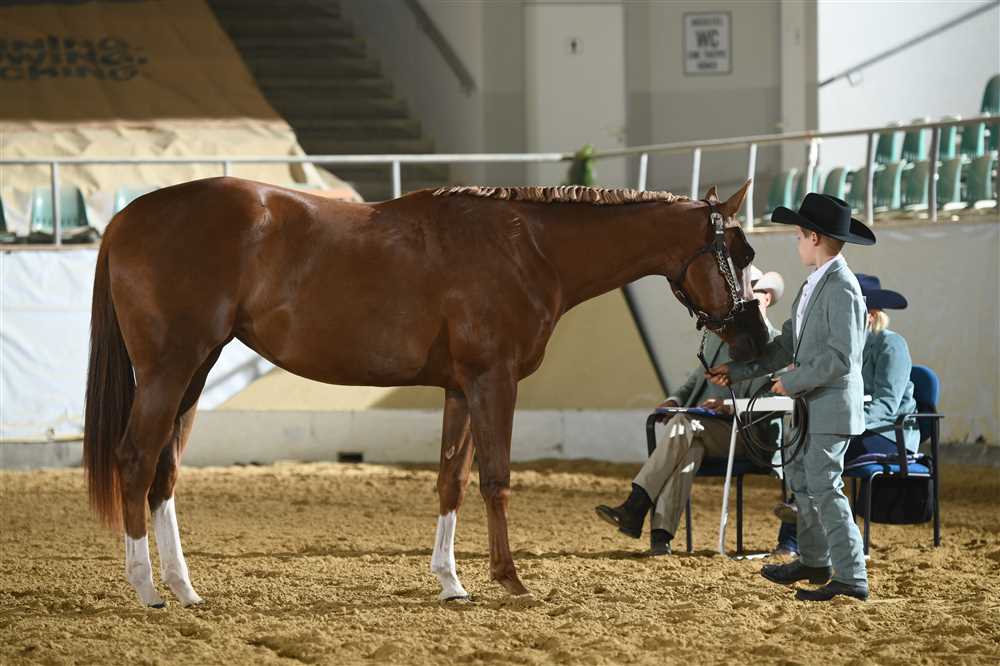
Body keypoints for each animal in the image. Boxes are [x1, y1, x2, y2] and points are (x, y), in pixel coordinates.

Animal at [83, 177, 767, 607]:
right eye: (737, 252)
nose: (756, 337)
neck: (530, 248)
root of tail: (125, 217)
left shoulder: (459, 388)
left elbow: (451, 481)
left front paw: (452, 583)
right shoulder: (493, 379)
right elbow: (496, 478)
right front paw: (510, 580)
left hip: (194, 373)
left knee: (165, 472)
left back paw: (184, 588)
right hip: (171, 369)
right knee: (135, 461)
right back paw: (148, 590)